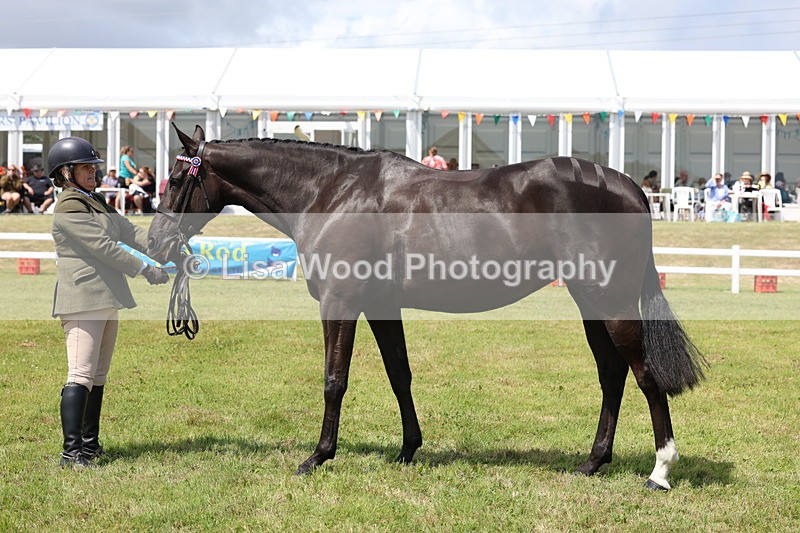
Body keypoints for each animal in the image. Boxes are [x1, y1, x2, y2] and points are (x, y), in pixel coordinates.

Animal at [147, 124, 706, 490]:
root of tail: (630, 187)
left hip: (609, 299)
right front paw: (407, 449)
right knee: (612, 373)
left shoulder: (340, 301)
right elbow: (400, 374)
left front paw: (318, 457)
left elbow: (334, 380)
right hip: (589, 300)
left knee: (644, 374)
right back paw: (593, 462)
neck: (333, 193)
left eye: (174, 179)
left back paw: (660, 469)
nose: (153, 242)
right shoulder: (380, 305)